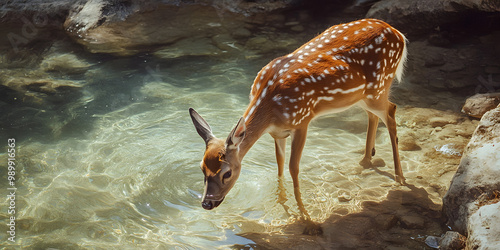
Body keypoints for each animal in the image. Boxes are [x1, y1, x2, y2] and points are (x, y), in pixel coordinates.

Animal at [189, 18, 408, 234]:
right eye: (201, 167)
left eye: (227, 173)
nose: (207, 203)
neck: (270, 109)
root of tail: (399, 34)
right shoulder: (278, 133)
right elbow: (279, 165)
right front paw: (280, 201)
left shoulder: (302, 121)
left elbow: (293, 168)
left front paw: (307, 219)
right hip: (362, 96)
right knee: (374, 116)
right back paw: (365, 161)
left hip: (379, 87)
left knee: (391, 111)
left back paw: (400, 178)